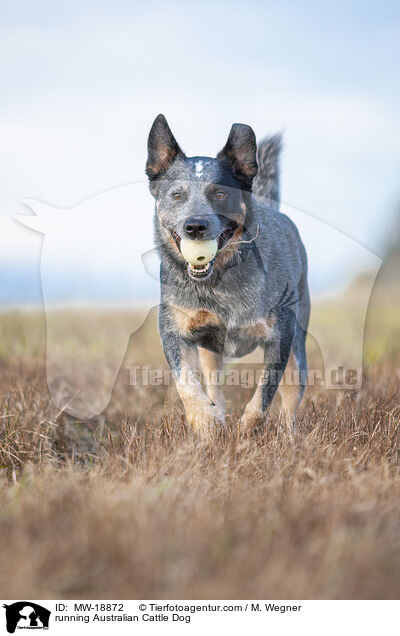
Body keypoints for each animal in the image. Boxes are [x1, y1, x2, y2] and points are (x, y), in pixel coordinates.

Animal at [145, 114, 310, 434]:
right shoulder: (173, 328)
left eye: (220, 194)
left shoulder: (281, 335)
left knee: (291, 398)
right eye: (177, 195)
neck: (218, 282)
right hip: (211, 353)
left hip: (299, 345)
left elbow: (265, 393)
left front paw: (247, 431)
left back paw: (289, 436)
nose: (195, 226)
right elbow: (186, 383)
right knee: (214, 387)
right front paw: (205, 424)